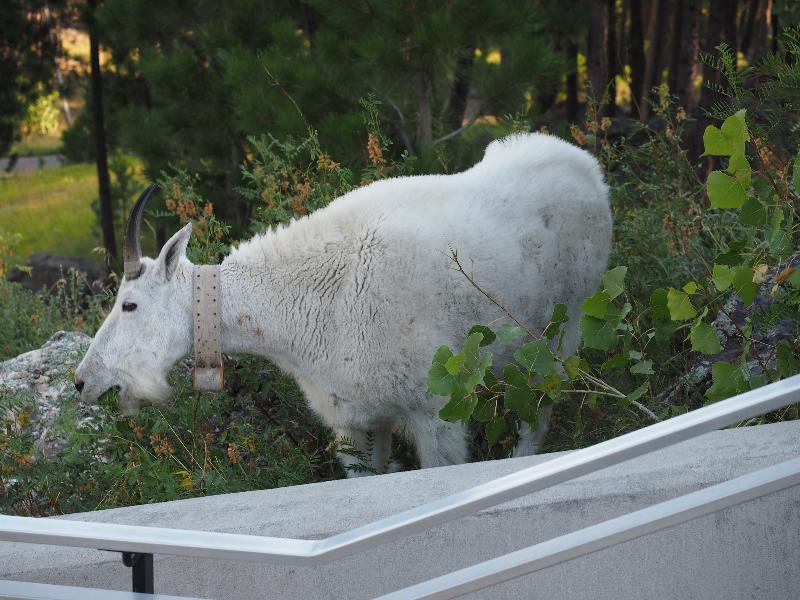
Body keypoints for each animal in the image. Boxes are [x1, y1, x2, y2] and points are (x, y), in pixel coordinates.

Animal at [75, 133, 612, 475]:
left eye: (129, 305)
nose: (83, 380)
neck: (302, 301)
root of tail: (590, 170)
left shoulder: (434, 410)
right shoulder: (355, 422)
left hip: (565, 325)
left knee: (542, 406)